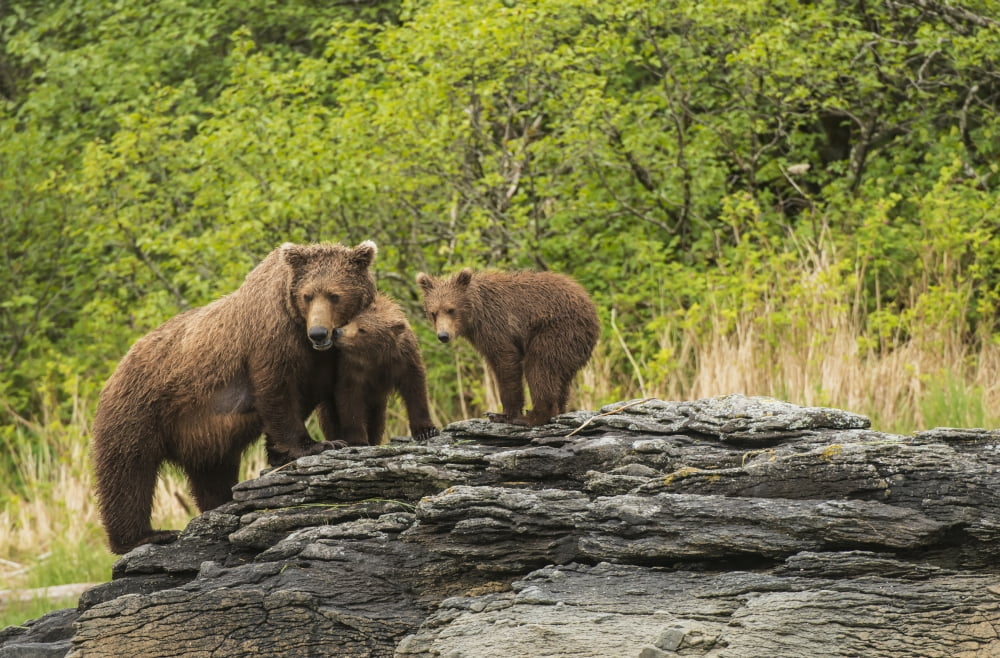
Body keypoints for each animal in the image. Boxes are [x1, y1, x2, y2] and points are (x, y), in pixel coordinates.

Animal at [91, 240, 378, 554]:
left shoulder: (328, 357)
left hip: (200, 435)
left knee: (212, 473)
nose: (318, 332)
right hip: (139, 409)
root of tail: (117, 367)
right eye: (308, 295)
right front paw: (316, 444)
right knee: (128, 472)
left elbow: (323, 395)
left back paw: (217, 504)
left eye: (335, 295)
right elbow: (278, 393)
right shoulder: (271, 339)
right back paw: (145, 536)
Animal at [320, 293, 439, 445]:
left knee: (377, 420)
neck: (375, 356)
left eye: (362, 329)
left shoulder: (404, 360)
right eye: (349, 321)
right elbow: (349, 399)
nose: (337, 332)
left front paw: (426, 431)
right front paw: (357, 440)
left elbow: (415, 389)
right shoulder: (351, 368)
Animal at [415, 268, 599, 426]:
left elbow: (506, 362)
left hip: (557, 331)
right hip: (571, 345)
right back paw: (559, 409)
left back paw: (531, 417)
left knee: (539, 367)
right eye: (433, 312)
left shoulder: (496, 325)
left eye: (451, 309)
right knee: (560, 375)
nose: (443, 335)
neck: (474, 316)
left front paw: (502, 414)